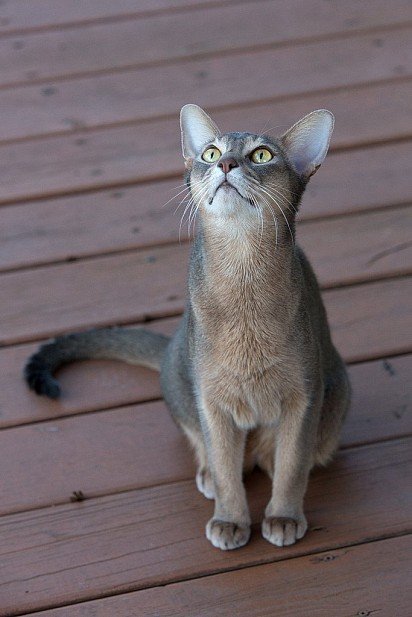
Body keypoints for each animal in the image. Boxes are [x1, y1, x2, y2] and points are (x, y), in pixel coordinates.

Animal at [24, 103, 350, 552]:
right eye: (210, 153)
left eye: (261, 155)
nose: (226, 164)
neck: (243, 278)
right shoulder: (210, 398)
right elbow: (226, 465)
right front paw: (230, 519)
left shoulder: (304, 395)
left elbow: (291, 465)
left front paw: (283, 515)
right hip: (181, 382)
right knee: (210, 448)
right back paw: (209, 475)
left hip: (336, 399)